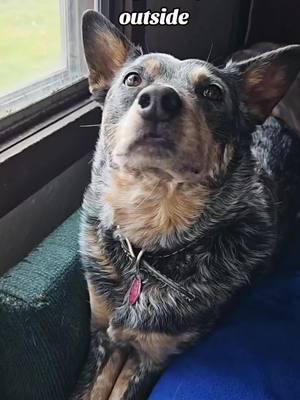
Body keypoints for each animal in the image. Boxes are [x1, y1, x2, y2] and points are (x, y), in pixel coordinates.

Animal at [72, 10, 300, 398]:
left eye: (212, 92)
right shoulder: (102, 334)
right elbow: (89, 388)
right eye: (133, 78)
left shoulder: (153, 356)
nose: (159, 100)